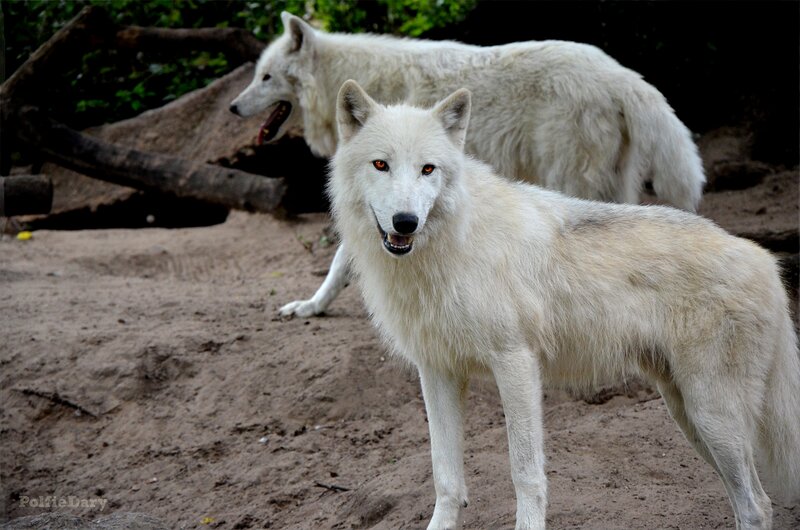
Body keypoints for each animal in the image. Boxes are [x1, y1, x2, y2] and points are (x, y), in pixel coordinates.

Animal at [229, 12, 706, 318]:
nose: (232, 107)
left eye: (266, 77)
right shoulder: (384, 196)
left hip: (568, 181)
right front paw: (312, 306)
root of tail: (625, 75)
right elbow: (344, 259)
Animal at [327, 79, 800, 530]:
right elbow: (445, 476)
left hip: (711, 415)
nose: (405, 222)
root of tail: (764, 259)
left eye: (428, 169)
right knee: (750, 502)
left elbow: (524, 471)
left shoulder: (515, 362)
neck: (449, 247)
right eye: (381, 164)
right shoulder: (437, 371)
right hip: (688, 415)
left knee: (758, 505)